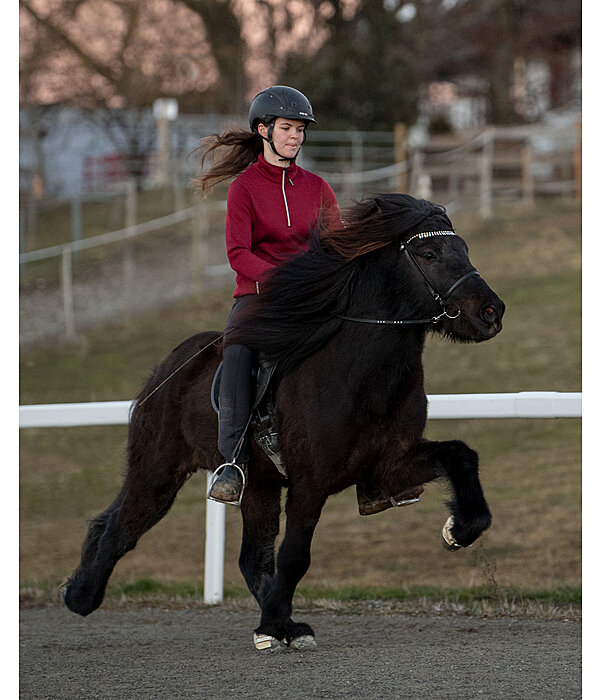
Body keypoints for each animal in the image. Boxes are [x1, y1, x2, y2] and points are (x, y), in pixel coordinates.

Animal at [63, 193, 506, 652]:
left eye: (464, 249)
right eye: (429, 253)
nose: (492, 311)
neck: (359, 374)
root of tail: (168, 369)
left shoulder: (388, 464)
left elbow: (461, 456)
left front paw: (459, 529)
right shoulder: (310, 482)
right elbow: (295, 555)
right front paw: (273, 625)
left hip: (257, 482)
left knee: (249, 558)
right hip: (158, 472)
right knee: (120, 528)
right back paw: (80, 596)